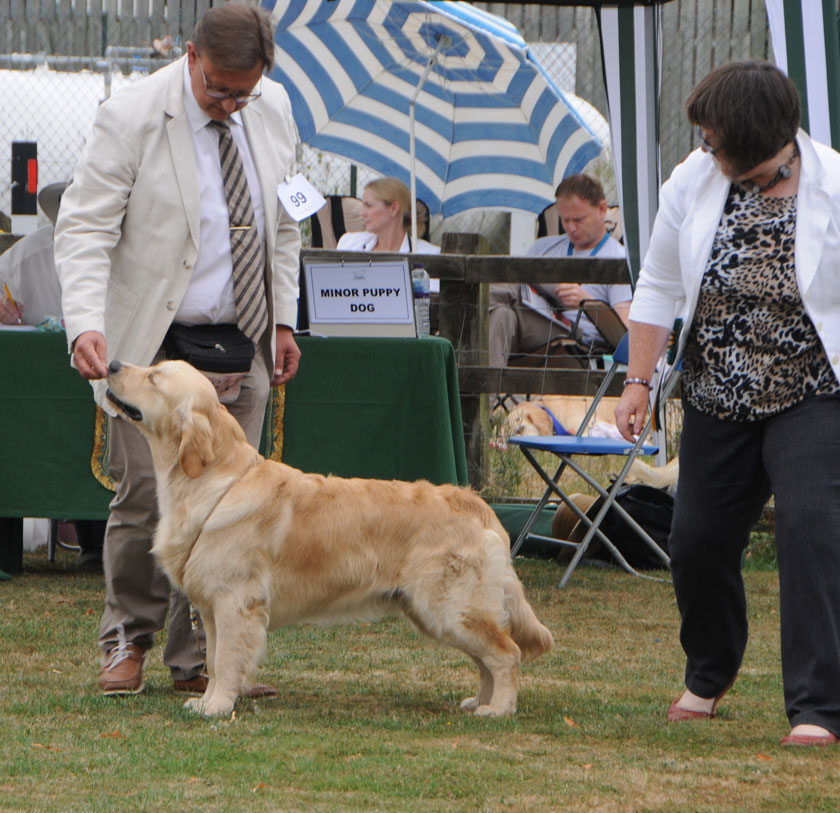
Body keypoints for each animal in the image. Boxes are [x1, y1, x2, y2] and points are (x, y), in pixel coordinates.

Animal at [105, 360, 556, 716]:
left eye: (154, 377)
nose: (110, 364)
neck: (215, 484)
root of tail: (472, 500)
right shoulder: (214, 610)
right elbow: (214, 661)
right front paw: (207, 701)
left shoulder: (235, 603)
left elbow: (228, 660)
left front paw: (218, 706)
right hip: (439, 613)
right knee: (486, 659)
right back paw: (480, 701)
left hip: (450, 608)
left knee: (507, 653)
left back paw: (498, 709)